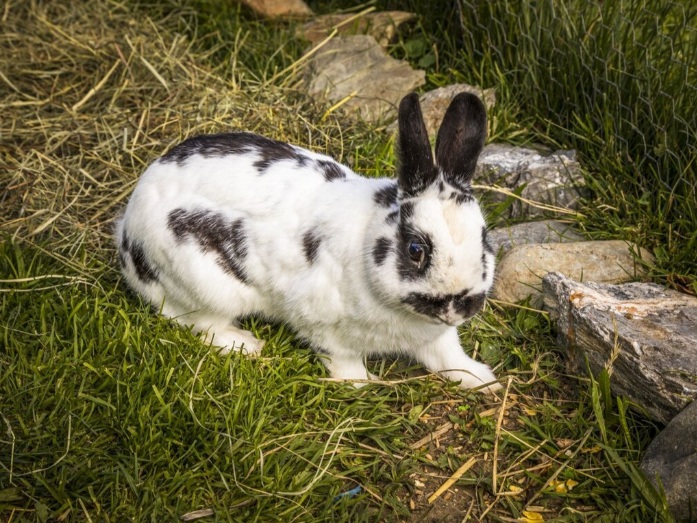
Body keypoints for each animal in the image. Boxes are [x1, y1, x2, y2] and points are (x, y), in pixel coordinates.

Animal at [115, 92, 501, 393]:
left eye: (485, 238)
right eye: (416, 250)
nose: (459, 306)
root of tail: (127, 232)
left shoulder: (438, 338)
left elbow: (449, 356)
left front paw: (483, 381)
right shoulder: (323, 326)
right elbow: (344, 361)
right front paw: (361, 385)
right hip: (207, 286)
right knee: (196, 322)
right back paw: (246, 344)